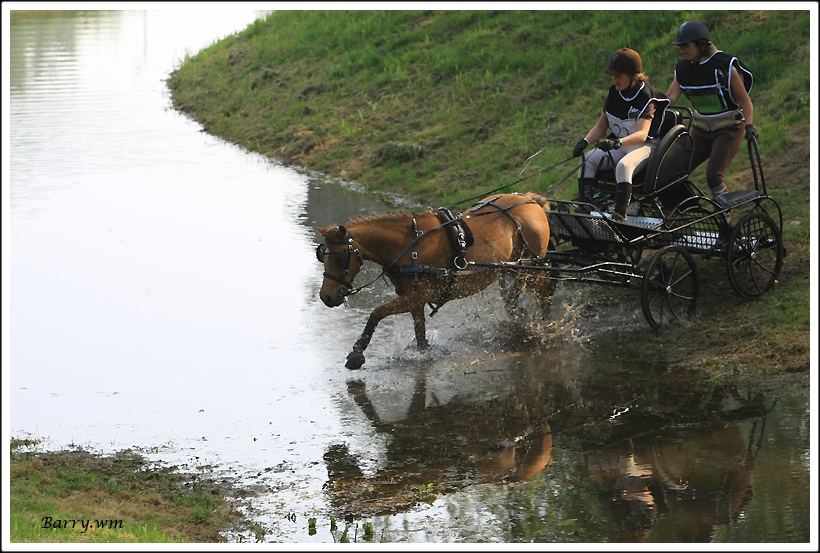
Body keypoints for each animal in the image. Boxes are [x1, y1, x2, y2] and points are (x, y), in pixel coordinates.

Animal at [318, 192, 556, 368]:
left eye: (341, 257)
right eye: (321, 255)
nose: (326, 296)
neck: (410, 246)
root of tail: (530, 200)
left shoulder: (417, 295)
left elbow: (376, 313)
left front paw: (357, 352)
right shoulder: (414, 298)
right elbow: (420, 332)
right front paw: (425, 354)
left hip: (531, 267)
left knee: (545, 293)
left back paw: (546, 328)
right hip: (513, 269)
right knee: (514, 297)